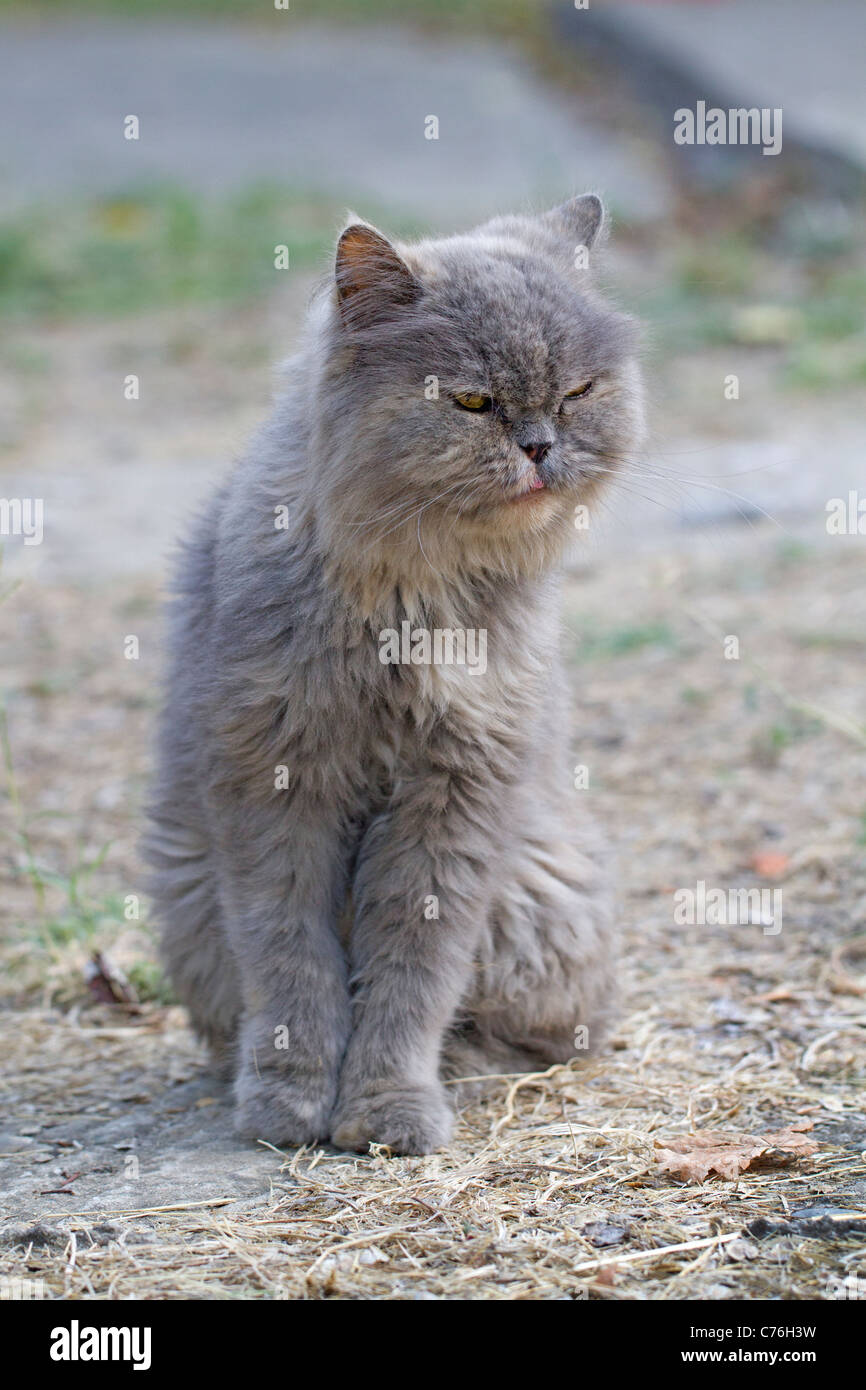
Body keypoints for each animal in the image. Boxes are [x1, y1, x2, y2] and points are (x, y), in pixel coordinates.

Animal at [143, 193, 644, 1150]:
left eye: (578, 393)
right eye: (473, 402)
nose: (540, 446)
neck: (412, 606)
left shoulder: (458, 794)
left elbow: (414, 972)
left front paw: (386, 1109)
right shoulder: (273, 784)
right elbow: (290, 961)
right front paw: (291, 1105)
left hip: (543, 895)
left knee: (536, 1033)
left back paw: (463, 1069)